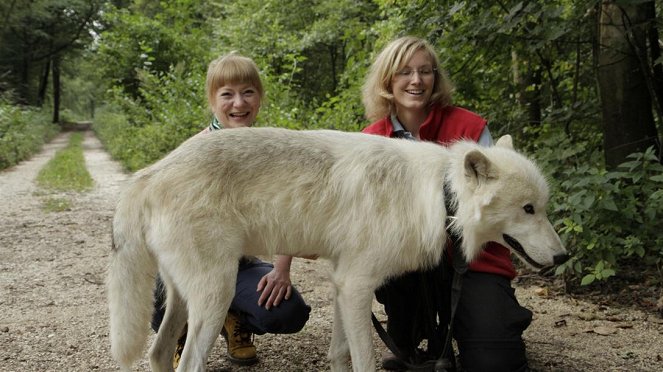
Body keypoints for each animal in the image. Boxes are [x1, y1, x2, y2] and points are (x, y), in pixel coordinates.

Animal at [106, 126, 568, 370]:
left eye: (543, 207)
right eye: (528, 209)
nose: (564, 257)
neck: (440, 195)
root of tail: (150, 172)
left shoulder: (344, 285)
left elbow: (341, 353)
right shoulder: (357, 285)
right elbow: (363, 359)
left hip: (186, 298)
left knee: (158, 352)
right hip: (216, 295)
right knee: (185, 360)